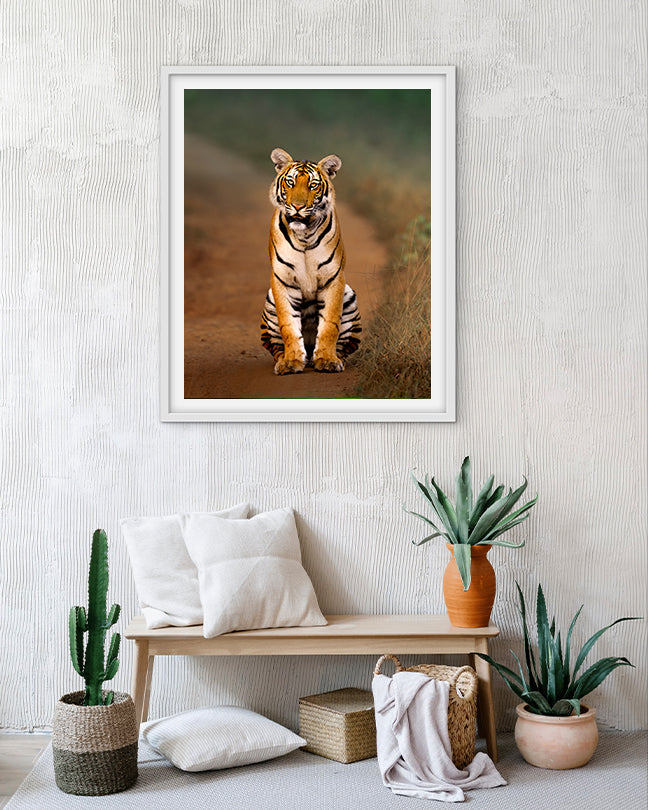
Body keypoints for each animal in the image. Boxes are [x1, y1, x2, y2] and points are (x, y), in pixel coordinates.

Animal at [260, 147, 361, 375]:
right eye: (290, 182)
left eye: (313, 185)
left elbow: (330, 324)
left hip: (350, 296)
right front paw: (290, 362)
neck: (303, 234)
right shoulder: (283, 280)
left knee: (344, 346)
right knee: (276, 347)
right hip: (269, 301)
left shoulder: (333, 279)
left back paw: (328, 359)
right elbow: (288, 325)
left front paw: (327, 360)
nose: (297, 206)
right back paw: (288, 359)